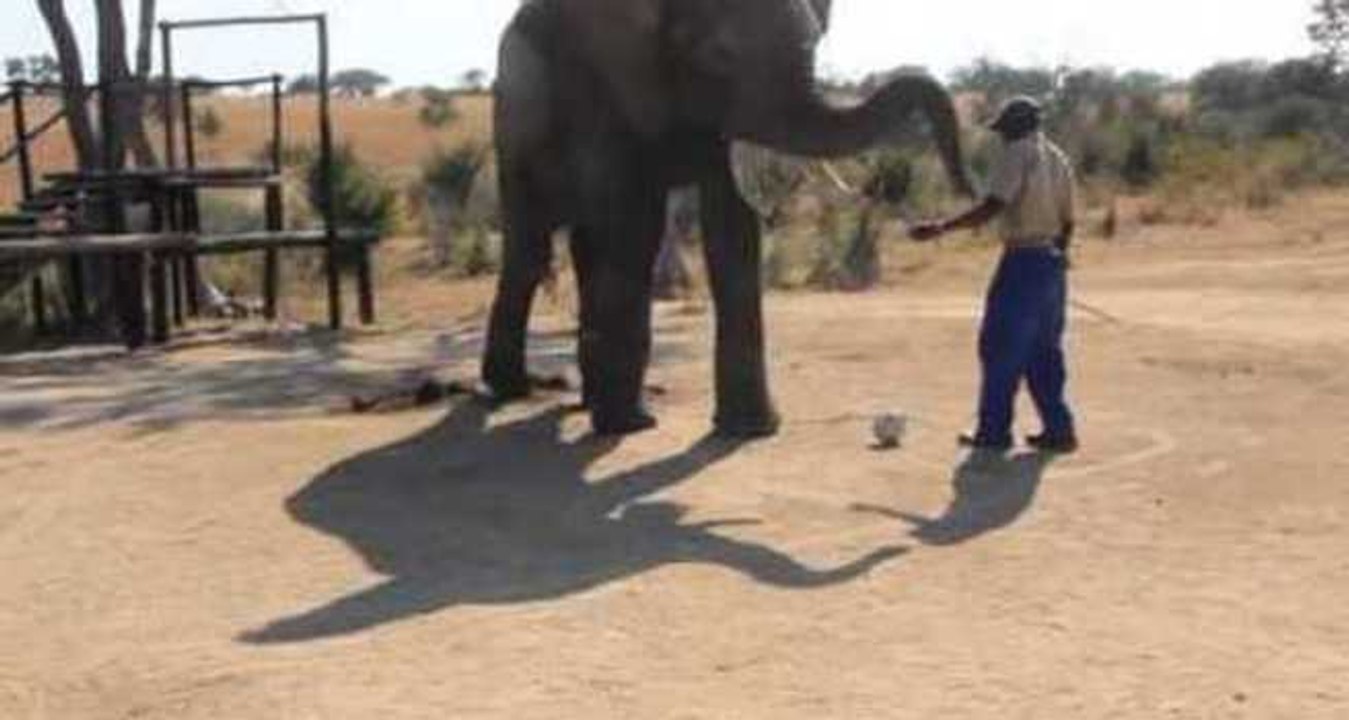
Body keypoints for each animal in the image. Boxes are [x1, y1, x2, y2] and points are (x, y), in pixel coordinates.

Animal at [482, 0, 975, 437]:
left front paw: (750, 430)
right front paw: (631, 426)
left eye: (816, 43)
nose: (966, 187)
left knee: (587, 245)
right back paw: (513, 390)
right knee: (532, 247)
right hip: (514, 119)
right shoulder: (606, 84)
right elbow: (633, 226)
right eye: (719, 56)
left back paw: (585, 400)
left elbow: (732, 222)